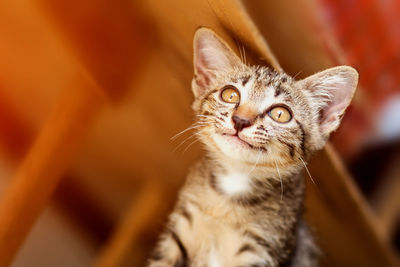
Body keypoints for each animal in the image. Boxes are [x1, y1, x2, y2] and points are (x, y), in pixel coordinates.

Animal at [148, 27, 360, 267]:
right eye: (230, 94)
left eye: (280, 114)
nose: (240, 120)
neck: (231, 190)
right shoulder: (180, 228)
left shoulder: (262, 248)